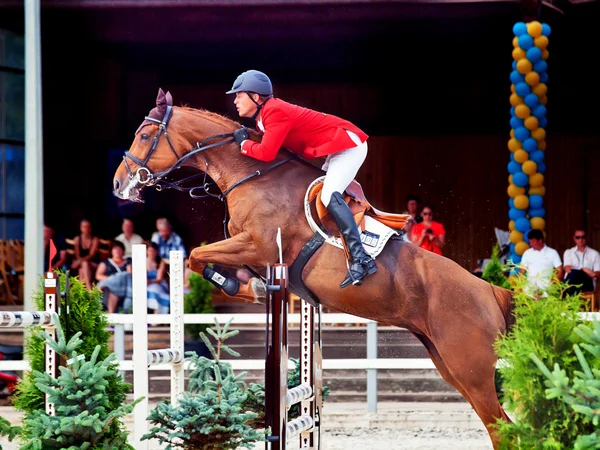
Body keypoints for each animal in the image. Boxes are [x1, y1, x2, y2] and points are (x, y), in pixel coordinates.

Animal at [113, 88, 516, 446]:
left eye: (145, 135)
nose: (119, 184)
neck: (253, 174)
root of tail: (489, 290)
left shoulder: (259, 244)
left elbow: (197, 254)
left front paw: (244, 287)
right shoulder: (250, 249)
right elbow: (203, 258)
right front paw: (251, 288)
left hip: (470, 370)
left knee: (501, 429)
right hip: (449, 365)